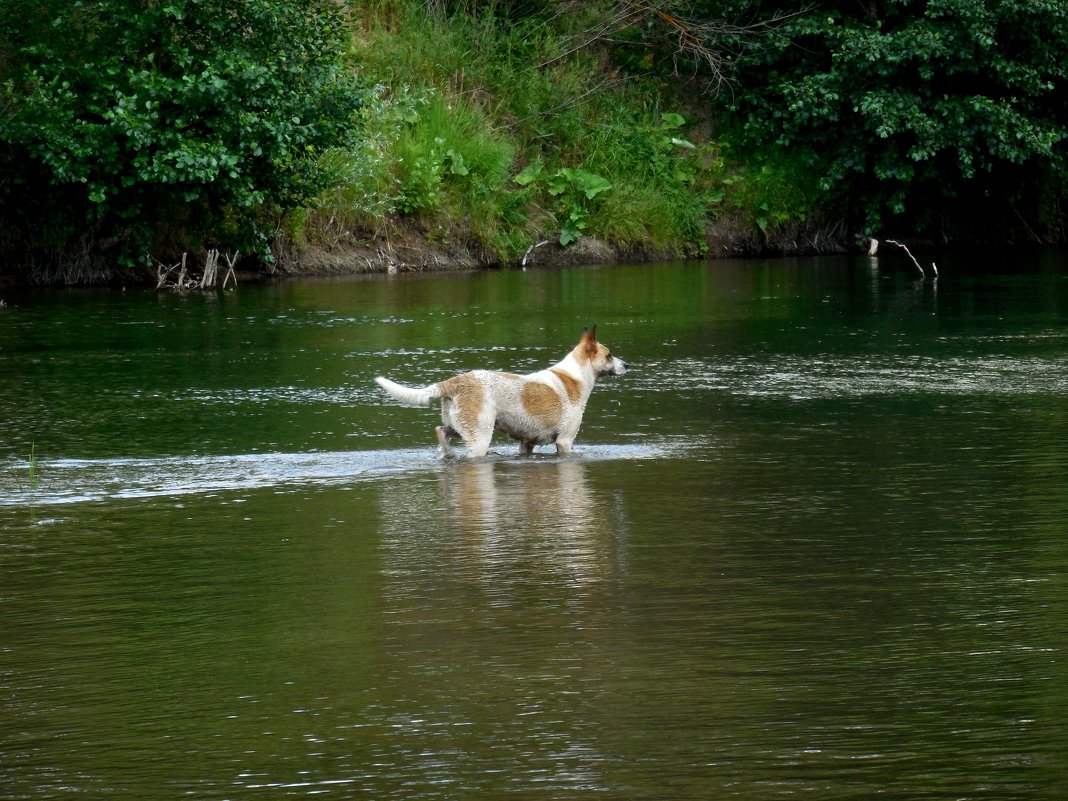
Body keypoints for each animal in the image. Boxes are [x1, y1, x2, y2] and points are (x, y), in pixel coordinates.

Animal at [373, 326, 623, 461]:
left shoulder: (527, 444)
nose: (627, 365)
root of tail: (455, 382)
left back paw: (448, 453)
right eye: (609, 355)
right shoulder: (565, 442)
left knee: (440, 431)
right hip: (480, 437)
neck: (575, 376)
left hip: (459, 427)